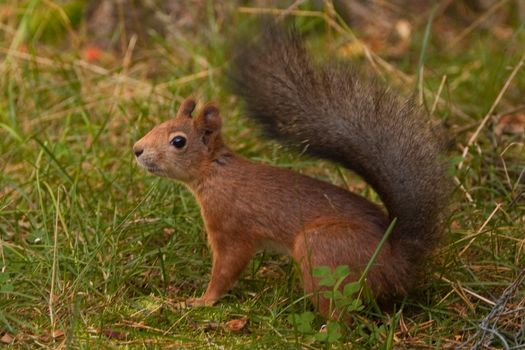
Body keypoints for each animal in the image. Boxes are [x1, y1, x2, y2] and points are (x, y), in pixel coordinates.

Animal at [132, 22, 446, 318]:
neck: (215, 172)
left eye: (178, 141)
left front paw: (202, 301)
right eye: (158, 124)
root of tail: (397, 263)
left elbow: (226, 268)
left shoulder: (231, 228)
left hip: (322, 251)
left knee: (341, 313)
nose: (137, 149)